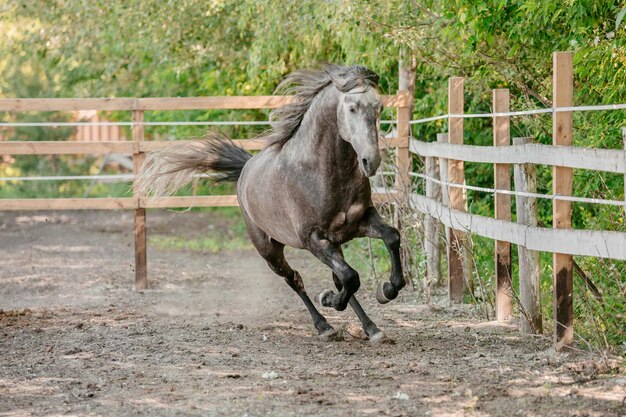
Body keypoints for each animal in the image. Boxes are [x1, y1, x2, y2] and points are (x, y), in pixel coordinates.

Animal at [138, 63, 404, 340]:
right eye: (352, 108)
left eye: (379, 107)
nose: (370, 161)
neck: (322, 171)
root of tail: (245, 167)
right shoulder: (313, 239)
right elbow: (351, 277)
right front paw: (330, 300)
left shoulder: (360, 221)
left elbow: (391, 237)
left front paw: (386, 290)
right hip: (270, 250)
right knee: (295, 279)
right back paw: (324, 325)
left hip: (334, 244)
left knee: (337, 277)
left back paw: (371, 328)